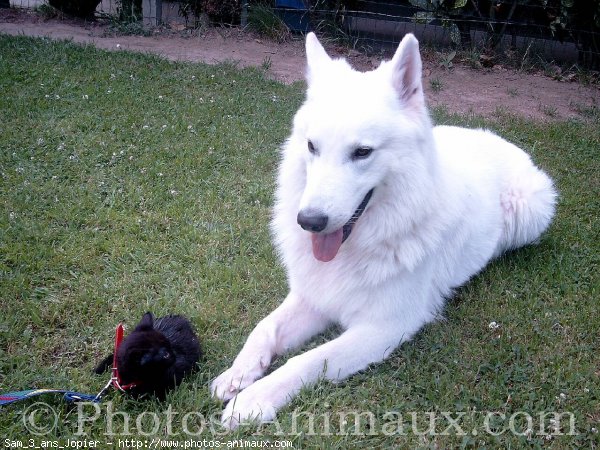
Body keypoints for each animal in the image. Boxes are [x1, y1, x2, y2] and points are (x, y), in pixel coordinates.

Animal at [212, 32, 556, 428]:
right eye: (312, 146)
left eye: (362, 152)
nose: (309, 221)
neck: (362, 245)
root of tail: (497, 139)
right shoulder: (313, 298)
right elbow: (264, 327)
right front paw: (238, 374)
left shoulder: (385, 327)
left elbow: (307, 359)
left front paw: (253, 399)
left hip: (530, 209)